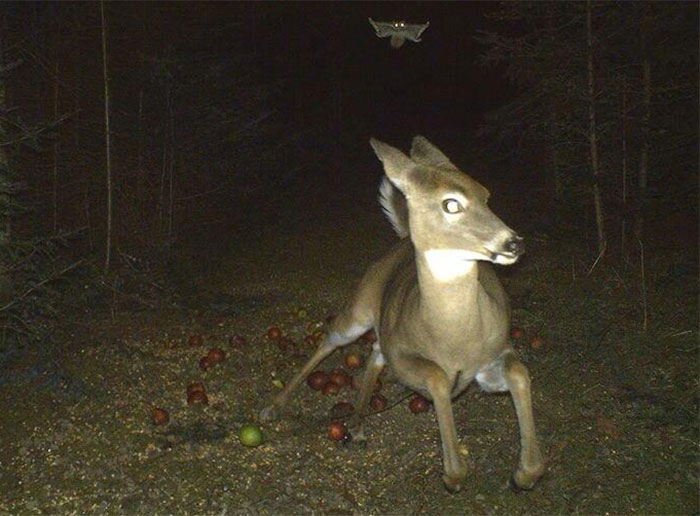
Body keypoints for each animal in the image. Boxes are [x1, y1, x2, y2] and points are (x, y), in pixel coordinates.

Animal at [260, 136, 544, 493]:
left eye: (486, 194)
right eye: (451, 204)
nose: (514, 243)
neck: (453, 339)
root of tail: (403, 239)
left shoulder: (495, 353)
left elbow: (519, 373)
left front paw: (524, 473)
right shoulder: (403, 356)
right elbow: (437, 377)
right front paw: (453, 474)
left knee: (373, 352)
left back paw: (357, 424)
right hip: (360, 307)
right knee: (332, 339)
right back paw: (273, 408)